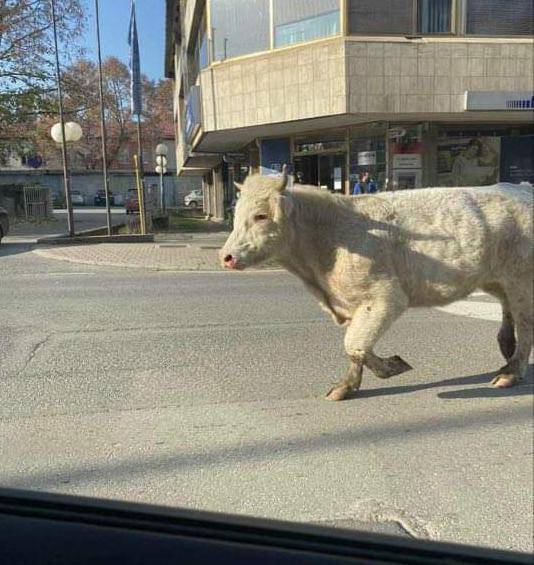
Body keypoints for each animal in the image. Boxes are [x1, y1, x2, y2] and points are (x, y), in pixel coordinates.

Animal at [220, 174, 532, 398]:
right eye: (236, 215)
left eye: (261, 215)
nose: (226, 257)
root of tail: (520, 187)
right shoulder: (350, 301)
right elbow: (355, 346)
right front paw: (346, 386)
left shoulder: (385, 297)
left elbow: (355, 344)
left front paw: (392, 366)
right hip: (497, 279)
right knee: (508, 311)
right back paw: (507, 349)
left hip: (521, 280)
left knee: (526, 324)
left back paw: (512, 372)